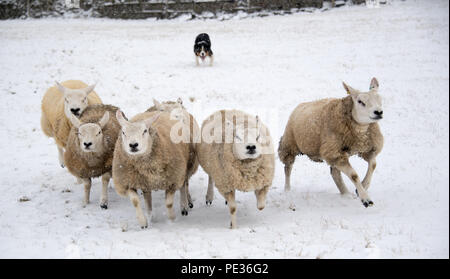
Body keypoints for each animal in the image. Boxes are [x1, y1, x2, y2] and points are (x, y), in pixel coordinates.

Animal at [278, 77, 384, 209]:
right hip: (290, 145)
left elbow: (373, 164)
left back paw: (345, 193)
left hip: (335, 154)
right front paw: (366, 199)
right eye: (360, 101)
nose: (378, 112)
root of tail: (300, 105)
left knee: (335, 173)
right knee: (288, 168)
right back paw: (287, 190)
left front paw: (363, 186)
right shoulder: (334, 151)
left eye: (380, 99)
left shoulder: (366, 148)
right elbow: (354, 175)